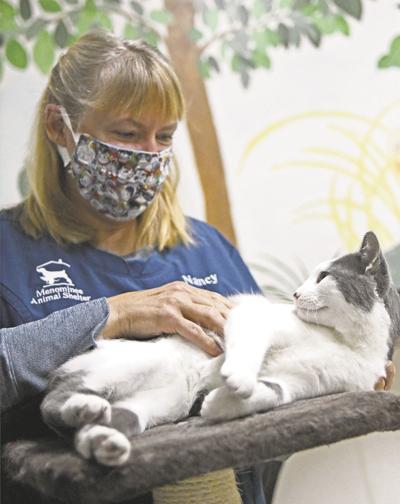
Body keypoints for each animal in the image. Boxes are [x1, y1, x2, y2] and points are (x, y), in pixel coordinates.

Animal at [40, 231, 400, 467]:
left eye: (324, 276)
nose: (296, 294)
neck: (349, 343)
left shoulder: (303, 383)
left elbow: (273, 392)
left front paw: (219, 403)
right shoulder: (251, 313)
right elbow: (249, 347)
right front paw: (237, 378)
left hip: (161, 403)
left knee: (102, 423)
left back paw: (104, 441)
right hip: (133, 363)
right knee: (53, 401)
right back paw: (83, 407)